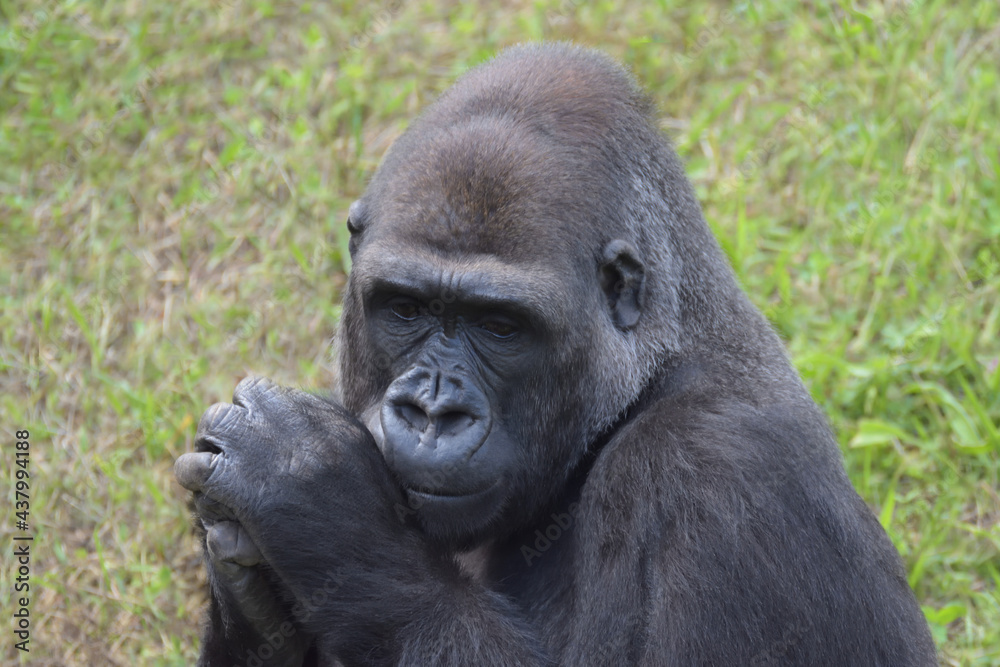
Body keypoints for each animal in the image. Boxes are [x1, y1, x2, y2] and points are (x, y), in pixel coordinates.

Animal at [178, 44, 936, 664]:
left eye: (500, 325)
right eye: (406, 308)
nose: (431, 410)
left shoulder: (722, 465)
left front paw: (318, 503)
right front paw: (246, 584)